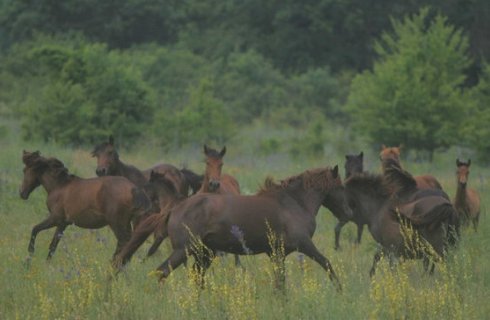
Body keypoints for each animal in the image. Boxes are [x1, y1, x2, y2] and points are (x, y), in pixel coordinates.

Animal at [19, 151, 153, 262]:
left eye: (24, 170)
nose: (22, 193)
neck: (59, 186)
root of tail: (133, 188)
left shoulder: (55, 218)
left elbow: (35, 229)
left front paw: (29, 255)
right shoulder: (63, 224)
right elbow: (53, 245)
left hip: (117, 224)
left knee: (123, 244)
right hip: (126, 223)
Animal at [145, 166, 348, 292]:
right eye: (340, 186)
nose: (348, 212)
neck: (294, 203)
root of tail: (175, 208)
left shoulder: (276, 253)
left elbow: (280, 282)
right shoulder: (304, 244)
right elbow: (326, 263)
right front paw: (340, 290)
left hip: (204, 254)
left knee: (196, 277)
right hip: (184, 250)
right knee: (162, 272)